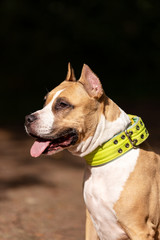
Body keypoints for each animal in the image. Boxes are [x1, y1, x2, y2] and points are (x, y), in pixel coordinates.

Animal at [24, 63, 160, 240]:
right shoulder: (91, 222)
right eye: (45, 101)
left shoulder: (140, 230)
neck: (108, 156)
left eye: (63, 104)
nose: (27, 119)